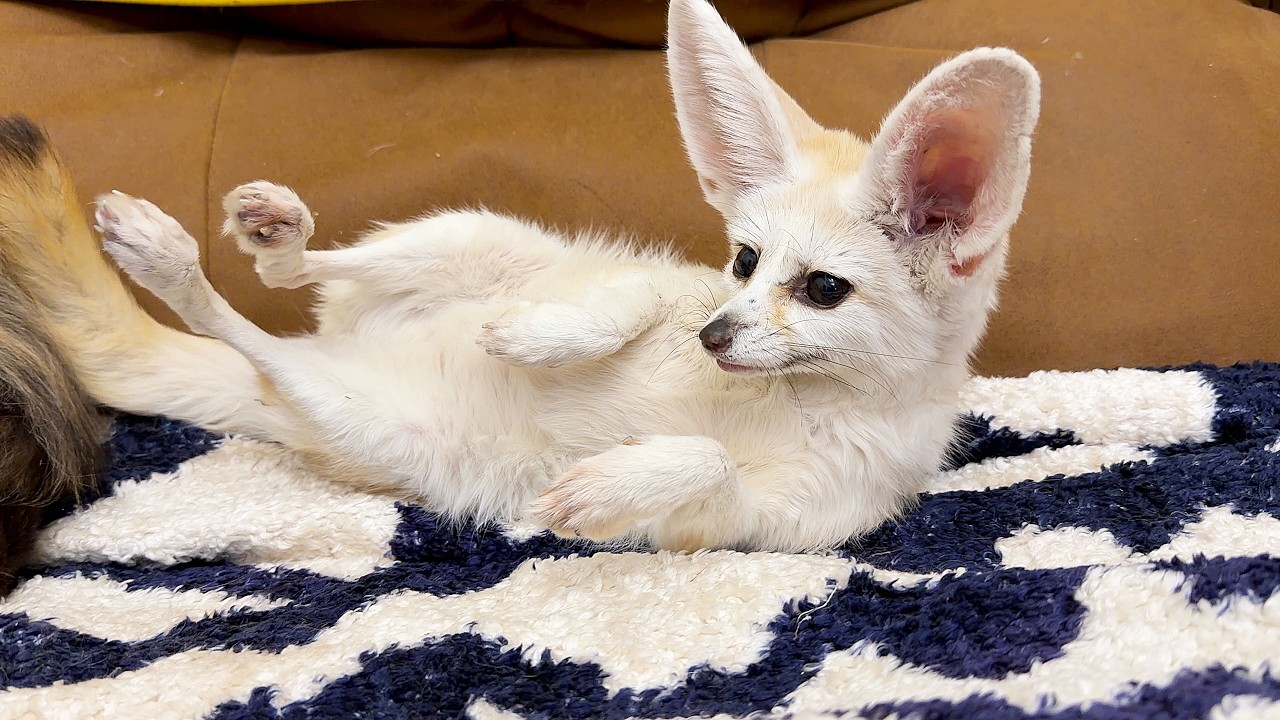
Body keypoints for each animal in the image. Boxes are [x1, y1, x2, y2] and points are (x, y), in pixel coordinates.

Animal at [0, 0, 1039, 555]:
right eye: (745, 262)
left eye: (823, 289)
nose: (711, 339)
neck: (797, 396)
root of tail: (342, 351)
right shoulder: (670, 287)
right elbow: (625, 300)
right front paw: (543, 336)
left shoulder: (771, 525)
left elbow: (705, 465)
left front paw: (609, 484)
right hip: (472, 234)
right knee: (297, 276)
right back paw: (253, 233)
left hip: (369, 424)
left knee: (258, 345)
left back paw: (171, 262)